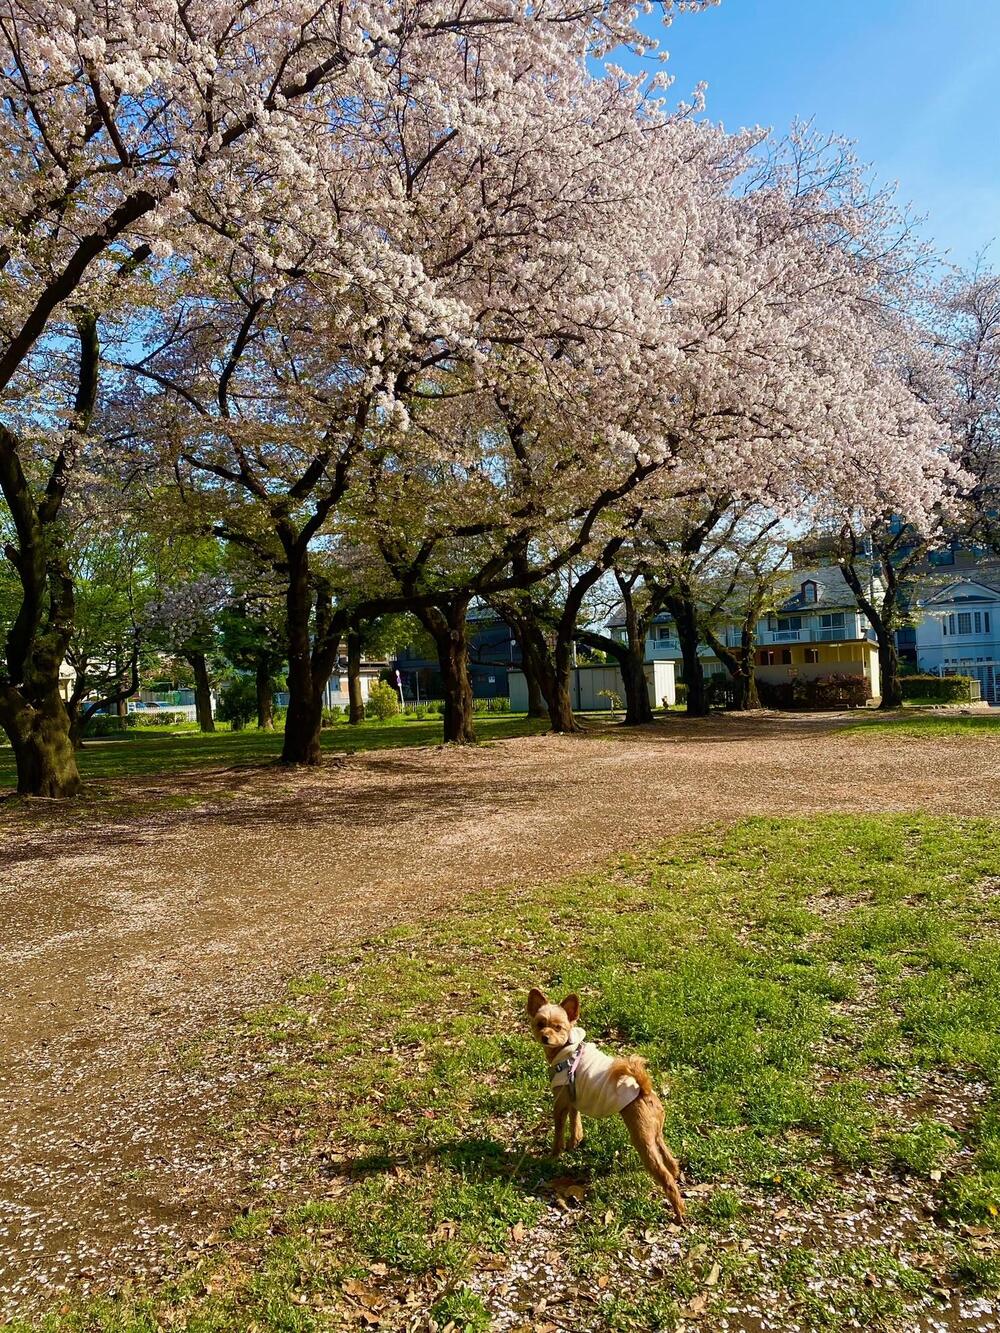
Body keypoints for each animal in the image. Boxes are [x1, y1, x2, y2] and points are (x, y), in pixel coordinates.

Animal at [528, 986, 688, 1221]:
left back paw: (679, 1212)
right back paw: (677, 1176)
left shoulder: (560, 1102)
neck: (566, 1051)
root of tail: (644, 1089)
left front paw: (554, 1155)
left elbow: (559, 1131)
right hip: (655, 1134)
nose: (545, 1036)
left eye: (558, 1027)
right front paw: (574, 1142)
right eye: (540, 1023)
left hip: (642, 1140)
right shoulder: (573, 1097)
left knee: (665, 1177)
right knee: (670, 1162)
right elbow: (575, 1121)